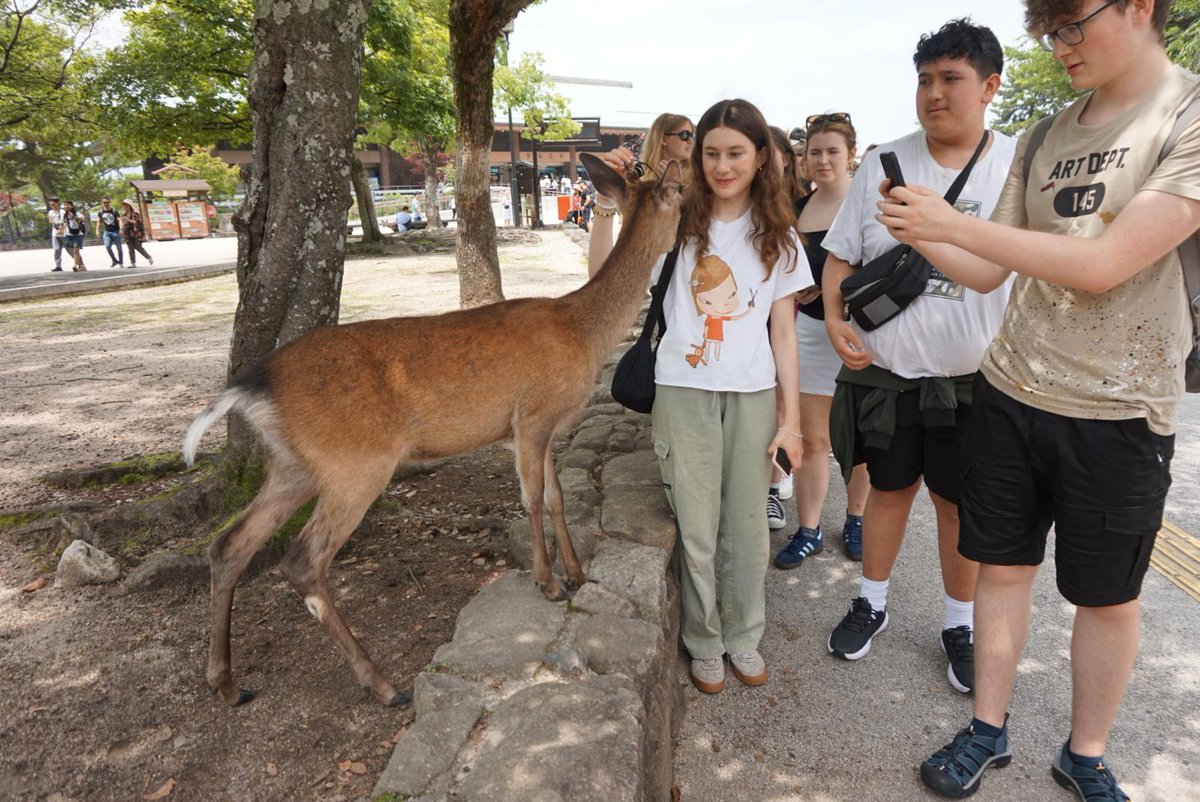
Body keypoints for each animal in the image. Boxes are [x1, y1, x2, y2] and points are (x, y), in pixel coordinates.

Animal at [182, 153, 684, 707]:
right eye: (683, 194)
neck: (583, 331)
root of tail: (252, 385)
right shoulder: (530, 416)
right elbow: (532, 500)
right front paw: (549, 583)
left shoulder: (544, 426)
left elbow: (556, 499)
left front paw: (576, 573)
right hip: (355, 463)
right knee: (301, 561)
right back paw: (383, 684)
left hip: (291, 463)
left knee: (229, 546)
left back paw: (226, 683)